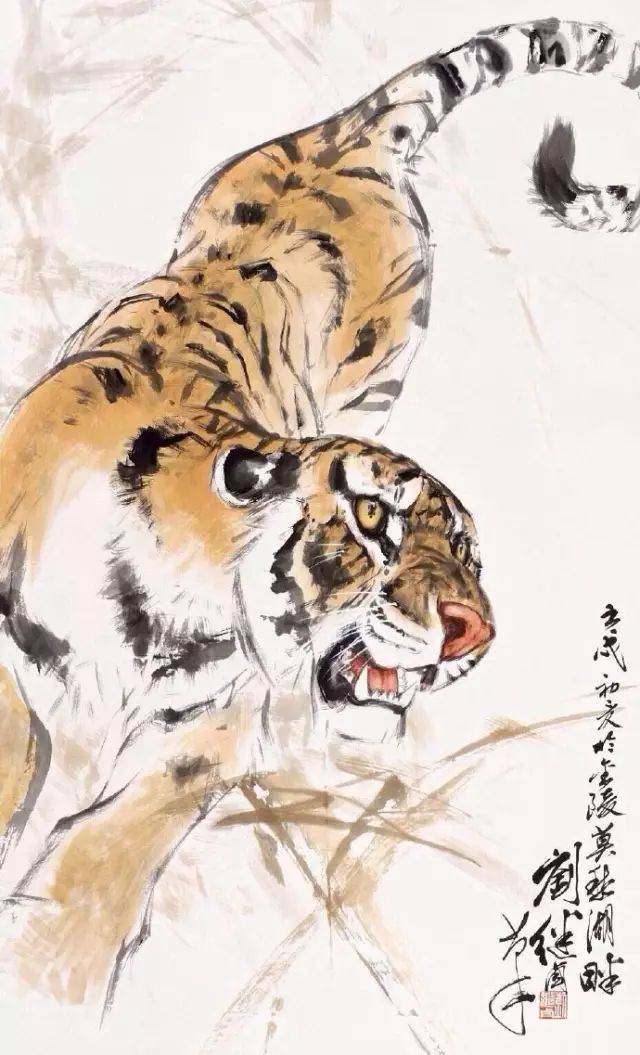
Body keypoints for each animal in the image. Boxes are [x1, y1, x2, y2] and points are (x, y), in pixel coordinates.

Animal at [0, 16, 637, 1008]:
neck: (167, 602)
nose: (474, 632)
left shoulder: (210, 727)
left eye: (469, 556)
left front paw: (54, 971)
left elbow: (117, 839)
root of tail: (353, 133)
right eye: (376, 522)